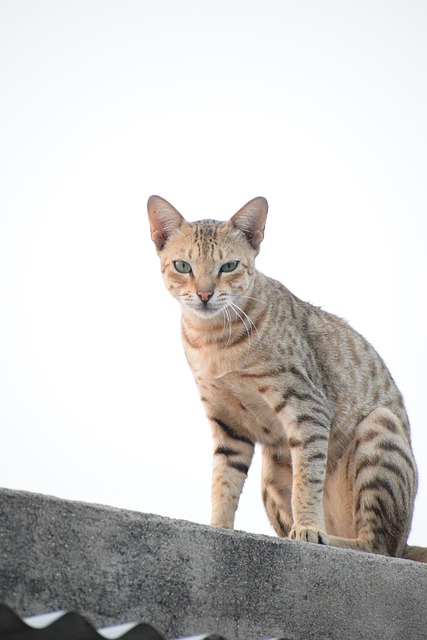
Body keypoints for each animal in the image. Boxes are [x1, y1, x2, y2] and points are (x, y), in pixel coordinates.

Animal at [148, 196, 427, 564]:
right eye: (182, 266)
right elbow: (223, 481)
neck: (213, 340)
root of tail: (407, 540)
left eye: (229, 266)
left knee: (378, 544)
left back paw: (328, 538)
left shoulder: (306, 406)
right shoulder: (227, 423)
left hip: (380, 431)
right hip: (271, 466)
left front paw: (308, 529)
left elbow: (306, 481)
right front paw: (218, 527)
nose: (205, 294)